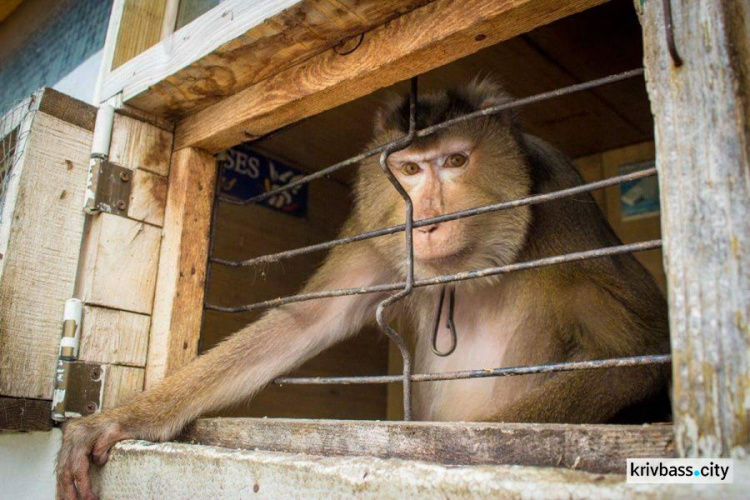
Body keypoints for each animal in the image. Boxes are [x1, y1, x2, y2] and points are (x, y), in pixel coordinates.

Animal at [57, 78, 668, 496]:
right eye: (409, 172)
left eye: (455, 160)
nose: (427, 221)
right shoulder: (376, 228)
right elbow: (304, 321)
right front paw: (120, 419)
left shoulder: (565, 207)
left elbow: (640, 355)